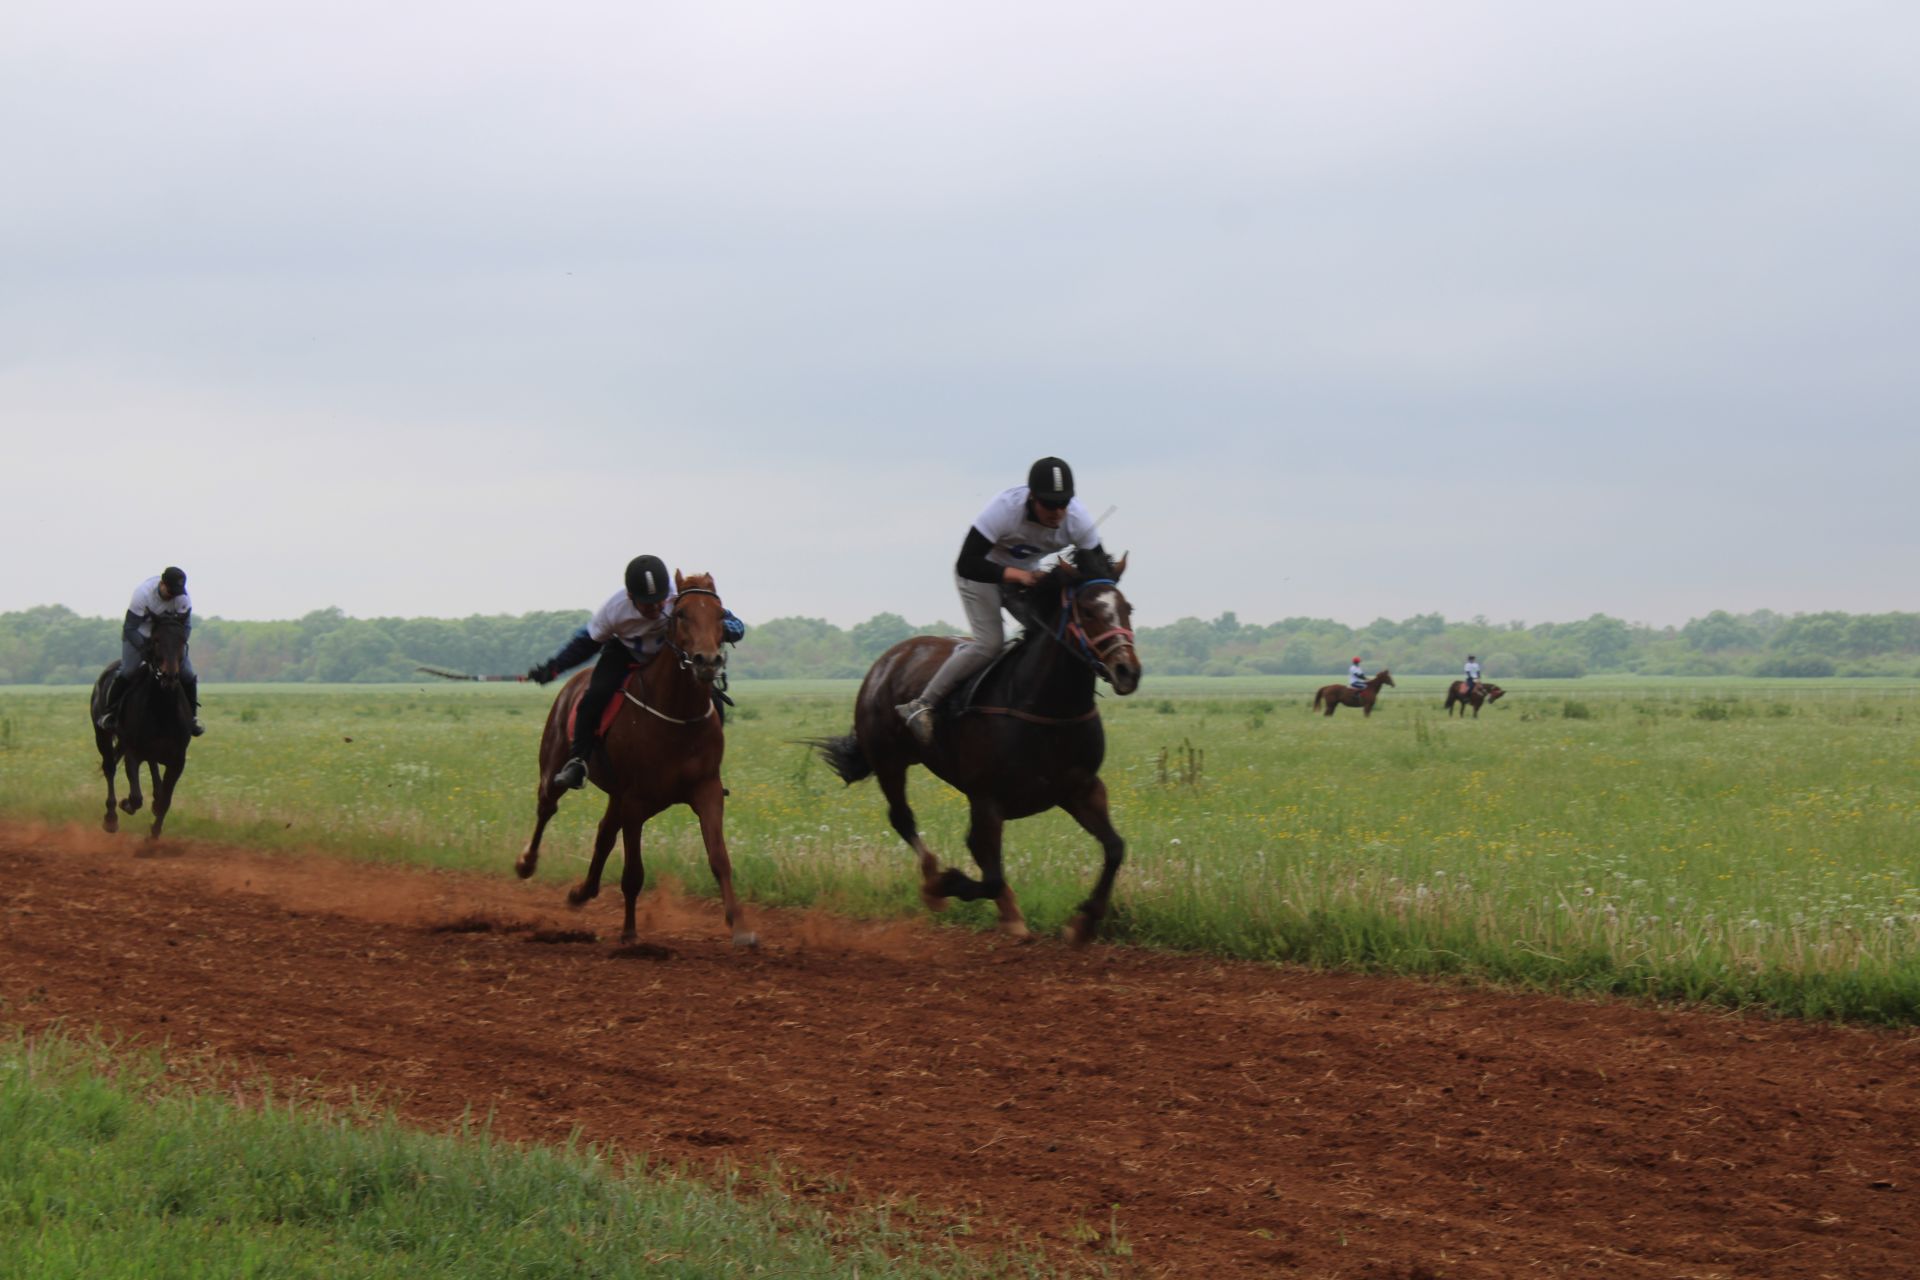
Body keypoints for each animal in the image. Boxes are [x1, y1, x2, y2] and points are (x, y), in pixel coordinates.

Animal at [89, 614, 192, 840]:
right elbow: (135, 797)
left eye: (182, 640)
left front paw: (154, 833)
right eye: (156, 640)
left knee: (152, 767)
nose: (169, 676)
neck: (163, 709)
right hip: (102, 735)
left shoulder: (178, 760)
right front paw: (125, 804)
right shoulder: (133, 752)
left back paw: (155, 797)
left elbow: (166, 801)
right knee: (109, 767)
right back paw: (111, 817)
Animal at [514, 575, 752, 948]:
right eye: (681, 614)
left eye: (720, 613)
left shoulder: (707, 790)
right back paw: (527, 863)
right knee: (547, 808)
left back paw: (582, 892)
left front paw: (739, 925)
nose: (707, 661)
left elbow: (719, 858)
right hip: (555, 768)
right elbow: (633, 872)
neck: (676, 714)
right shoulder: (635, 801)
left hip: (620, 796)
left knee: (603, 833)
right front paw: (629, 932)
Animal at [810, 545, 1136, 948]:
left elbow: (1115, 847)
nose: (1128, 671)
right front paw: (943, 884)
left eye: (1127, 608)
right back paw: (935, 880)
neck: (1046, 709)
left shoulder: (1082, 788)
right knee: (903, 818)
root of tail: (892, 656)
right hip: (889, 760)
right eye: (1089, 611)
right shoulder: (987, 798)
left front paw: (1084, 921)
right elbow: (990, 873)